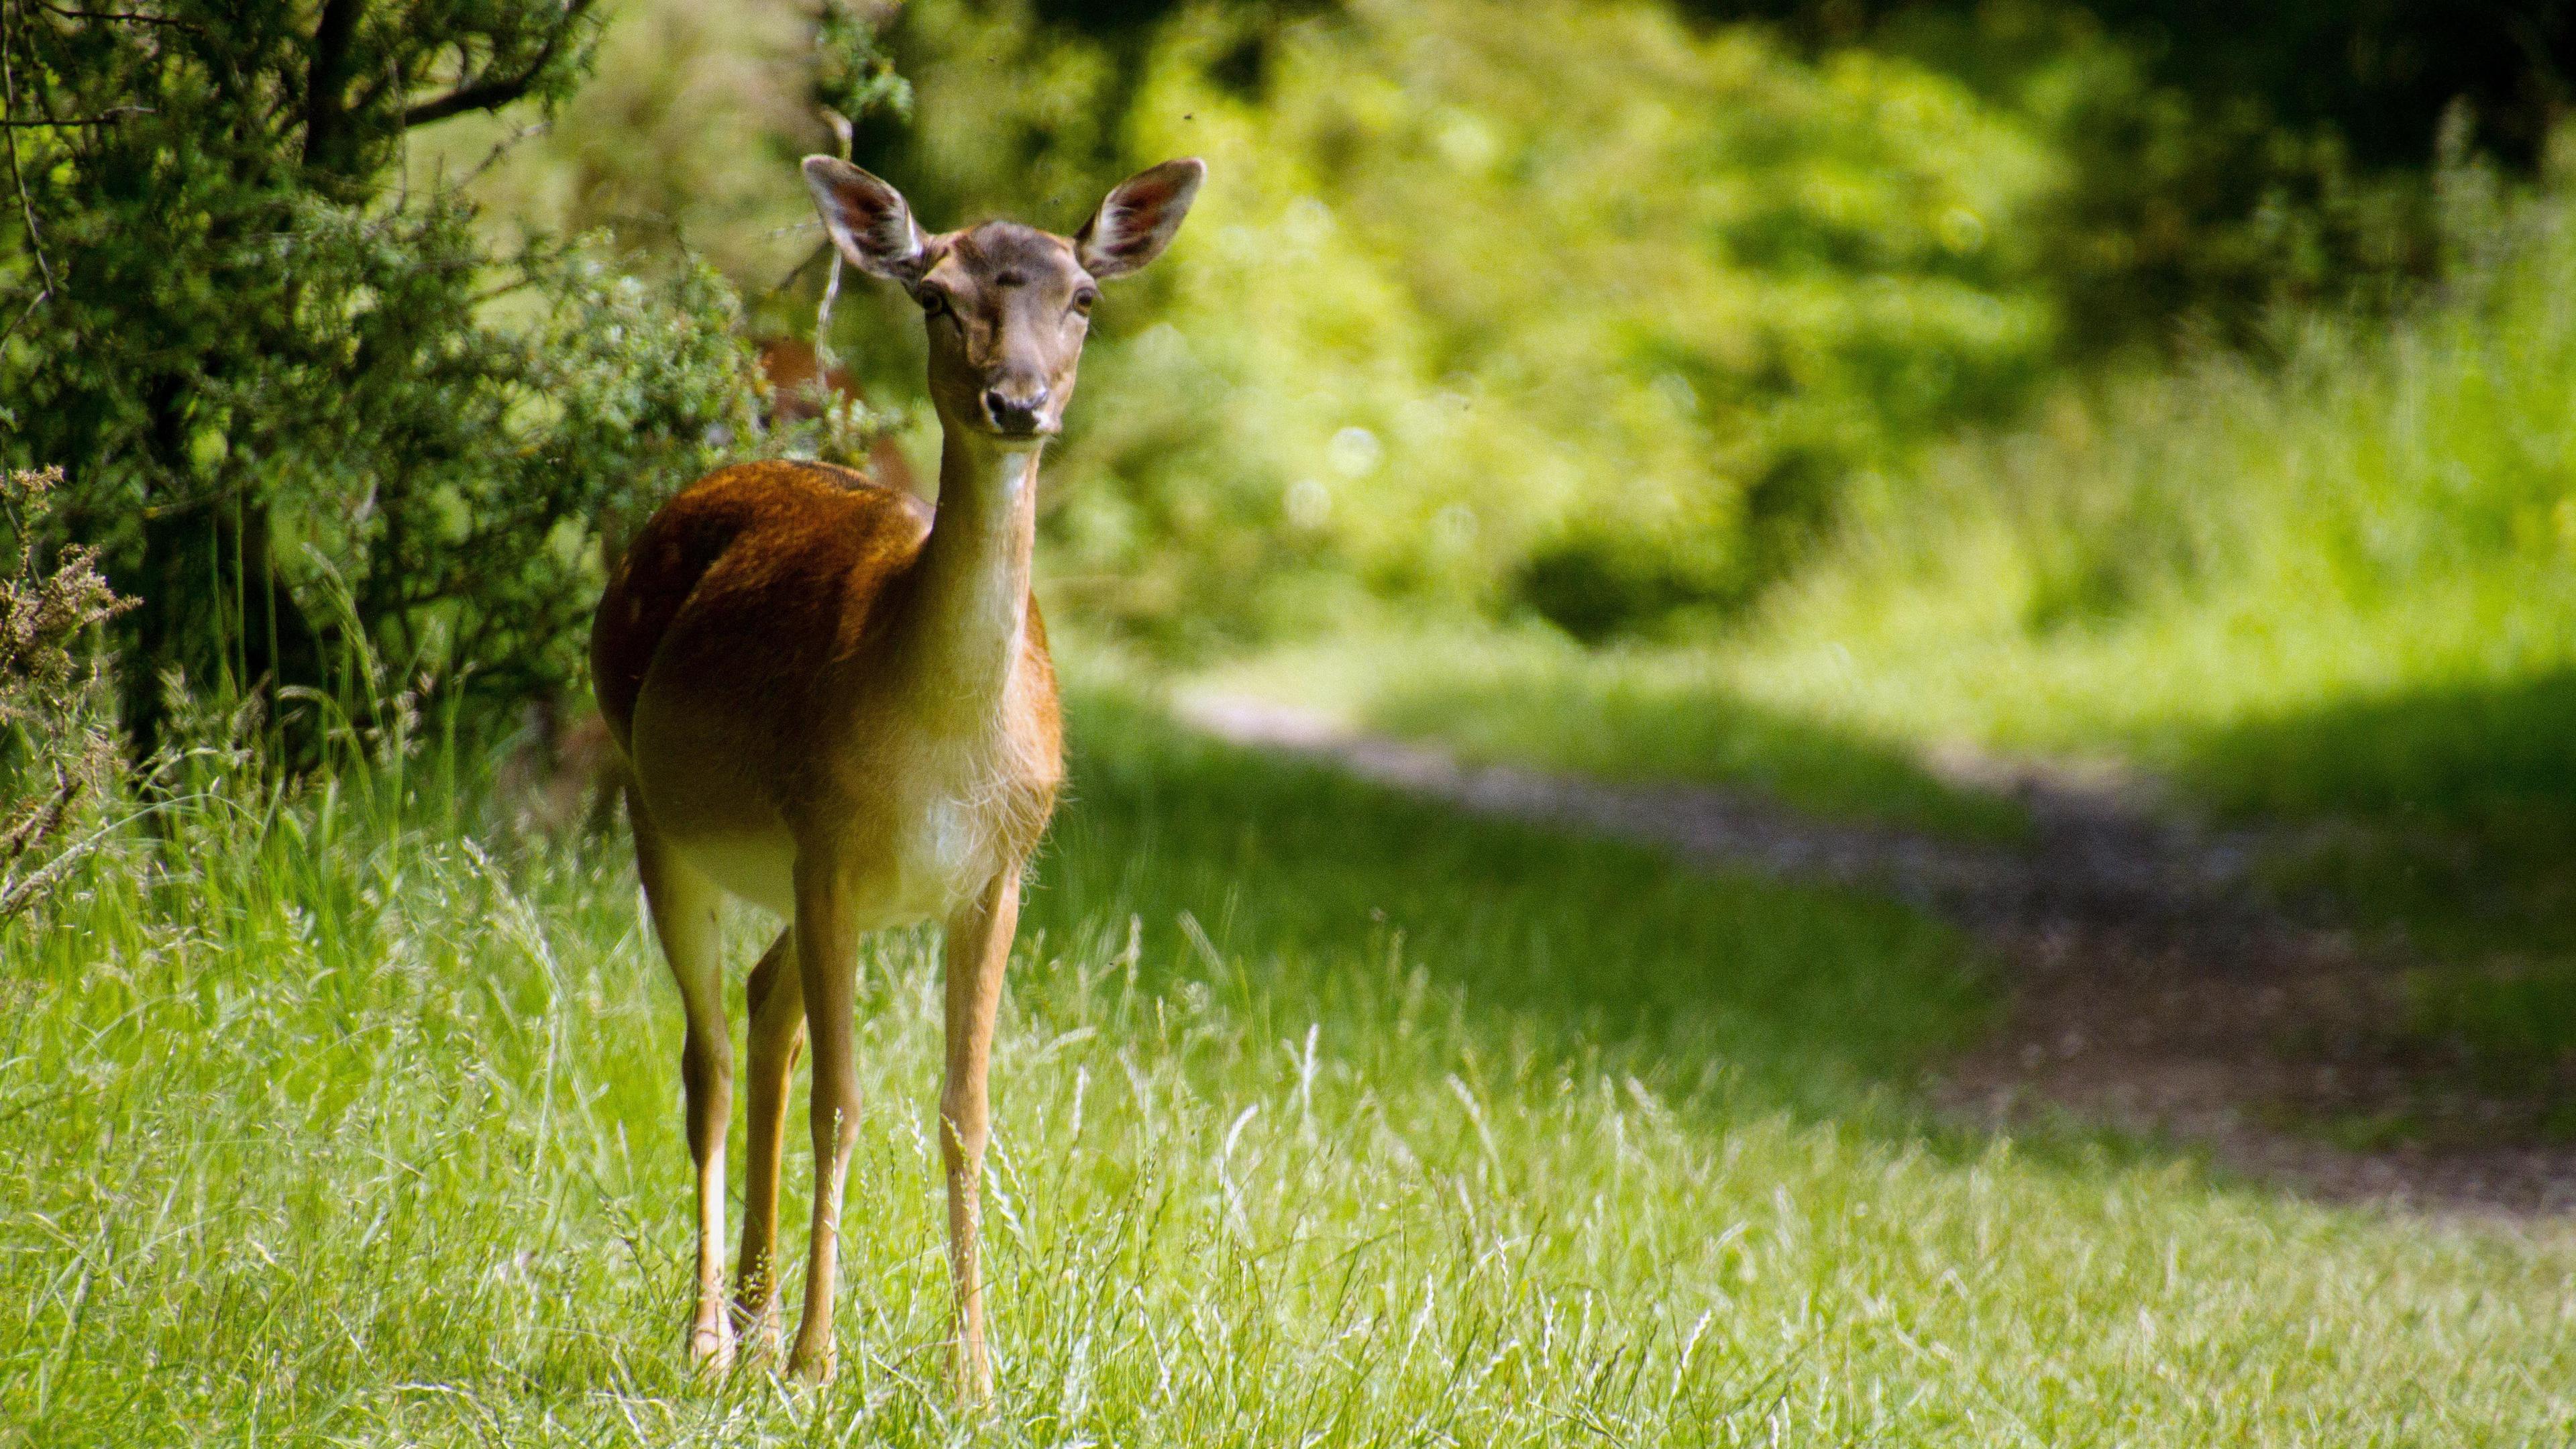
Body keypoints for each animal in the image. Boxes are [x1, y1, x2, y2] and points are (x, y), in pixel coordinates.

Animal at [592, 155, 1205, 1392]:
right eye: (934, 294)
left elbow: (964, 1110)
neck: (941, 751)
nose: (1017, 401)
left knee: (765, 1004)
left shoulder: (998, 873)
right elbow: (845, 1101)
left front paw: (974, 1372)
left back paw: (753, 1314)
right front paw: (818, 1363)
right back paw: (713, 1338)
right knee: (709, 1057)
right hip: (655, 807)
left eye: (1084, 297)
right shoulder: (826, 835)